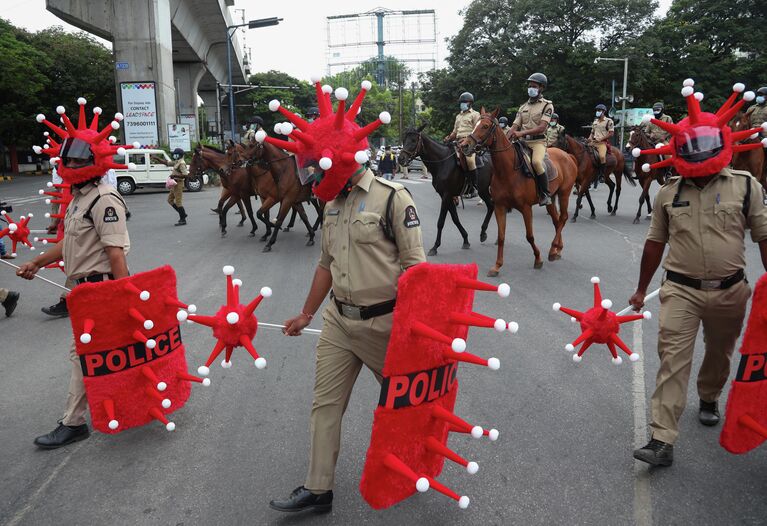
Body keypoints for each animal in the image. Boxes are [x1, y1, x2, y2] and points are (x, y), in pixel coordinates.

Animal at [462, 109, 576, 278]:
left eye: (485, 126)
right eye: (475, 123)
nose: (464, 145)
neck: (507, 171)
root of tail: (568, 156)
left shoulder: (526, 208)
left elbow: (530, 236)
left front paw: (538, 259)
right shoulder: (500, 207)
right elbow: (501, 237)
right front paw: (497, 266)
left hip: (564, 194)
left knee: (563, 218)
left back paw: (553, 248)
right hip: (550, 198)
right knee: (556, 221)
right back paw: (557, 250)